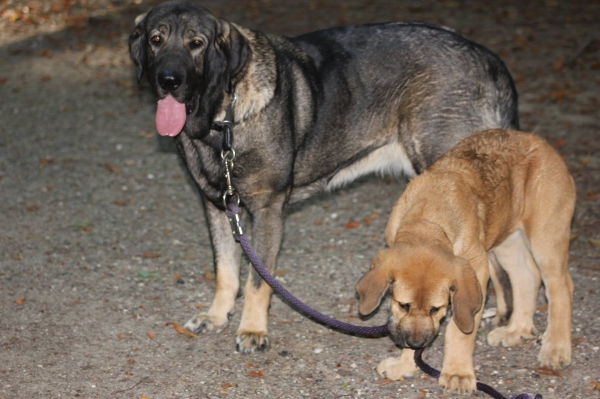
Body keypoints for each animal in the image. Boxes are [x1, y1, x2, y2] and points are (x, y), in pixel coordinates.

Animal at [131, 0, 520, 356]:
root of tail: (488, 59)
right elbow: (226, 270)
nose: (168, 80)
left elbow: (258, 281)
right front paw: (217, 316)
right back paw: (499, 317)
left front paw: (253, 330)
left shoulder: (268, 212)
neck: (222, 118)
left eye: (196, 43)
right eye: (155, 40)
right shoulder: (217, 206)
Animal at [356, 130, 576, 394]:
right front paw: (405, 365)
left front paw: (457, 373)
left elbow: (457, 332)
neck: (429, 221)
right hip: (507, 240)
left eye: (436, 308)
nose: (416, 343)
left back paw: (555, 347)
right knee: (527, 278)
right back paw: (516, 331)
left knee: (560, 289)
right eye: (403, 305)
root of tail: (540, 143)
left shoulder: (478, 272)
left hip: (546, 239)